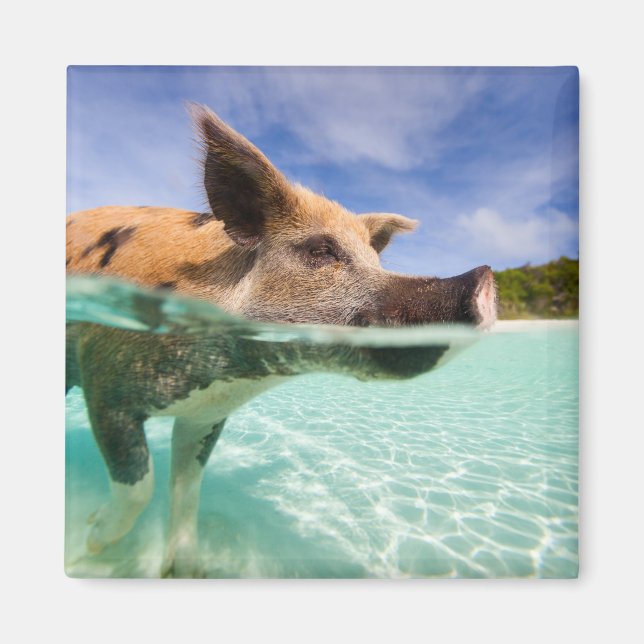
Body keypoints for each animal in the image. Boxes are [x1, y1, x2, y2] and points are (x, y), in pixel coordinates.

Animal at [65, 104, 496, 577]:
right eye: (321, 250)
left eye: (376, 260)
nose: (483, 279)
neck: (237, 374)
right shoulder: (104, 386)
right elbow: (139, 486)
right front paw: (89, 541)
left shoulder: (205, 415)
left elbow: (189, 486)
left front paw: (189, 571)